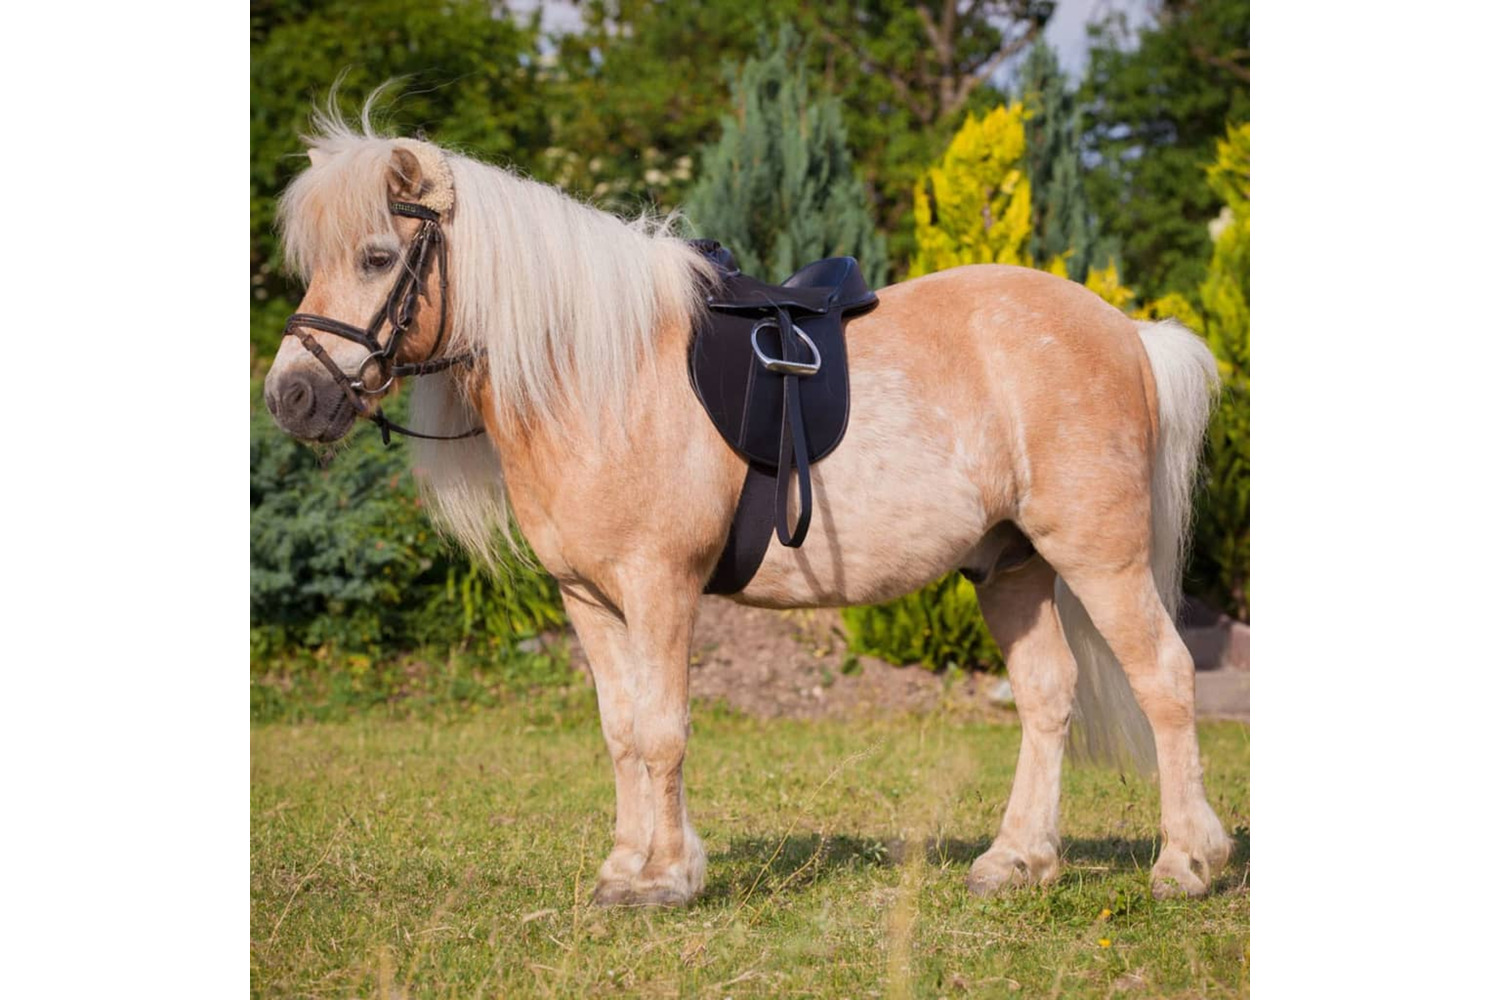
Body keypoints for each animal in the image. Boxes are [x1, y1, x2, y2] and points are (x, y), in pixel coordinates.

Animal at [262, 111, 1231, 907]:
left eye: (377, 257)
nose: (292, 397)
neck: (602, 375)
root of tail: (1128, 333)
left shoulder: (660, 587)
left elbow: (662, 730)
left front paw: (664, 879)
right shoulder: (588, 599)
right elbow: (621, 730)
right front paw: (626, 867)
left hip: (1099, 558)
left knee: (1166, 677)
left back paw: (1186, 862)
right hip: (1010, 565)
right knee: (1046, 696)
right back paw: (1017, 861)